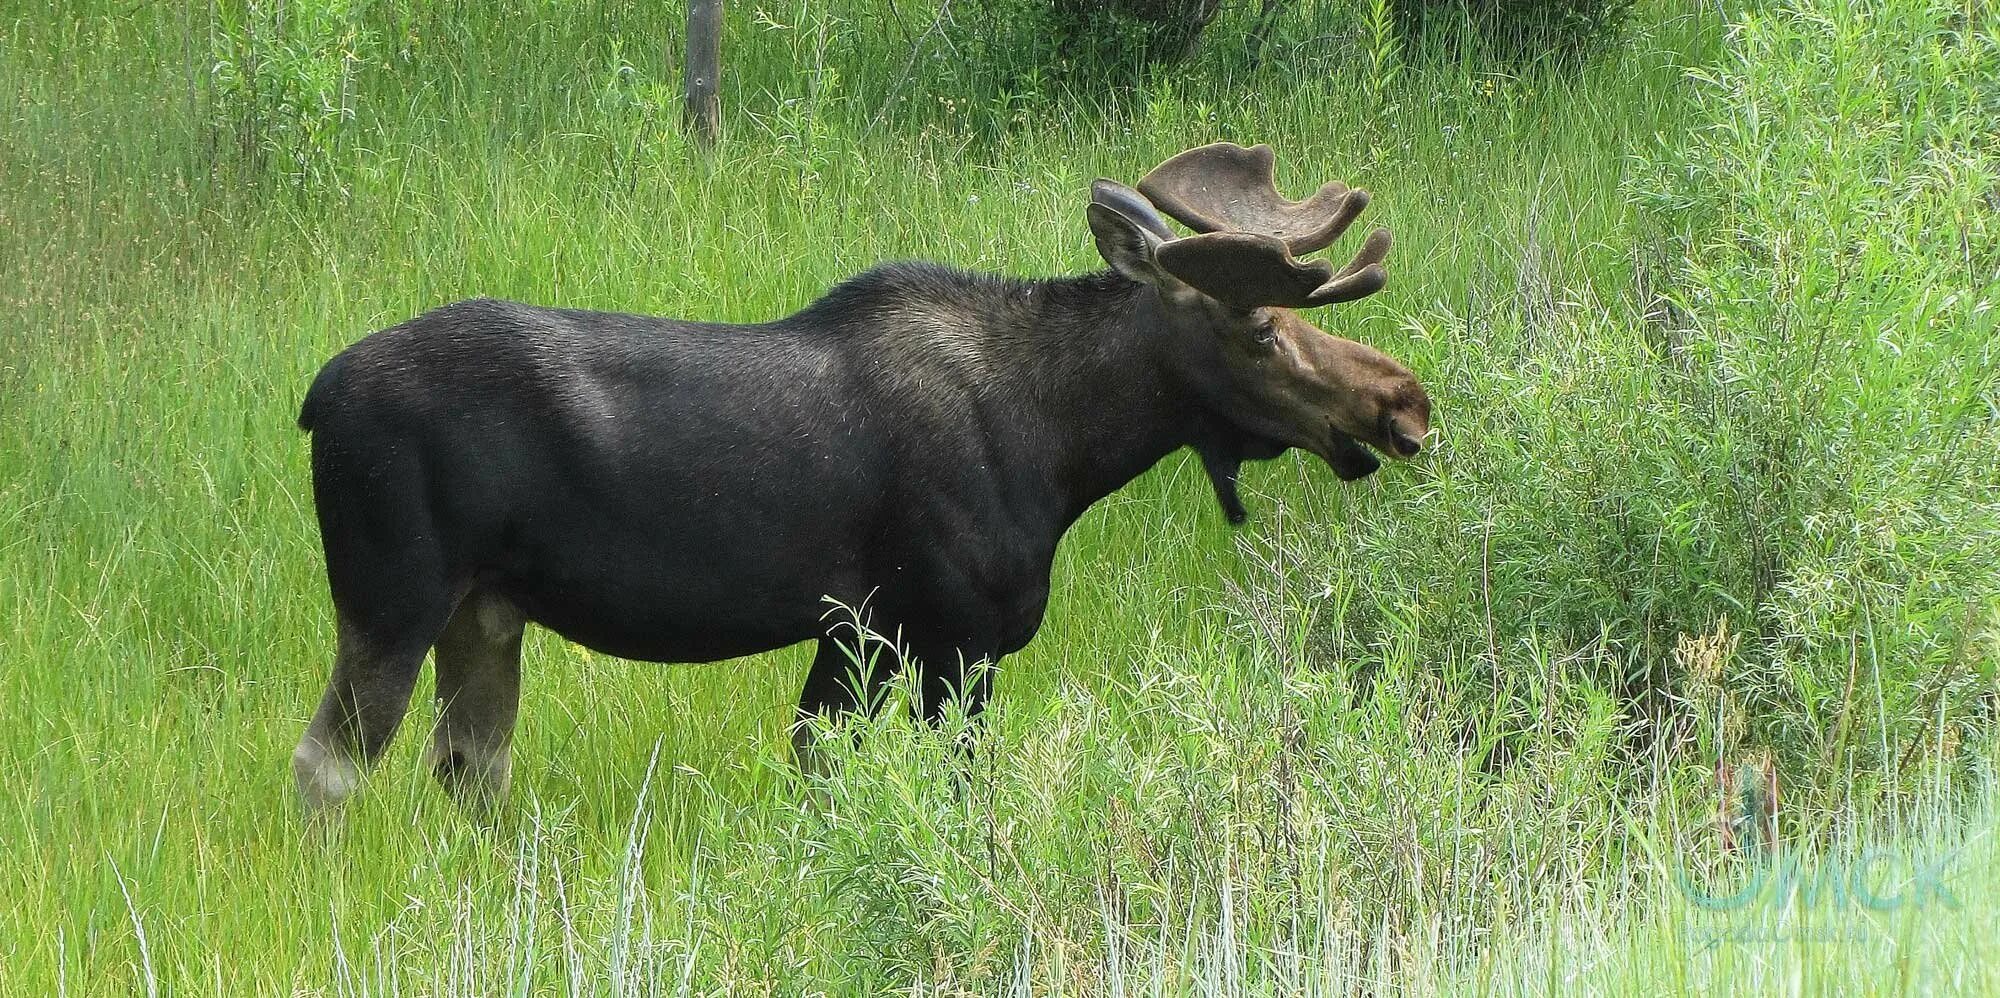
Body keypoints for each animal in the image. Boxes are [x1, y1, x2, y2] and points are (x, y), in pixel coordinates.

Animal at [290, 143, 1432, 812]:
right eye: (1262, 327)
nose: (1404, 404)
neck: (1065, 452)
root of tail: (312, 397)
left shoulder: (855, 635)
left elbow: (818, 767)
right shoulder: (954, 637)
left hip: (484, 614)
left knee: (468, 767)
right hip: (391, 599)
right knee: (329, 765)